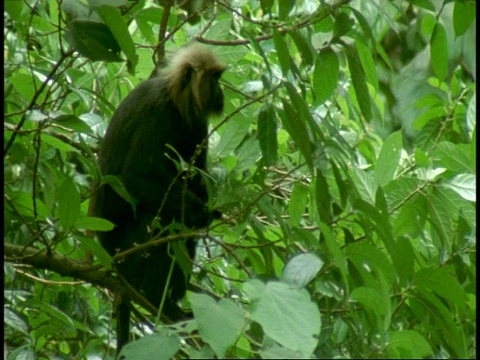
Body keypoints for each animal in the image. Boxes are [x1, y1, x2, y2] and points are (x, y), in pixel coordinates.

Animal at [90, 43, 225, 354]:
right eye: (215, 79)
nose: (222, 92)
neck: (176, 99)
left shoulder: (196, 124)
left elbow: (197, 181)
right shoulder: (157, 114)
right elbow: (135, 179)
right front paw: (202, 212)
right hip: (126, 255)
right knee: (160, 217)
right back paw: (153, 295)